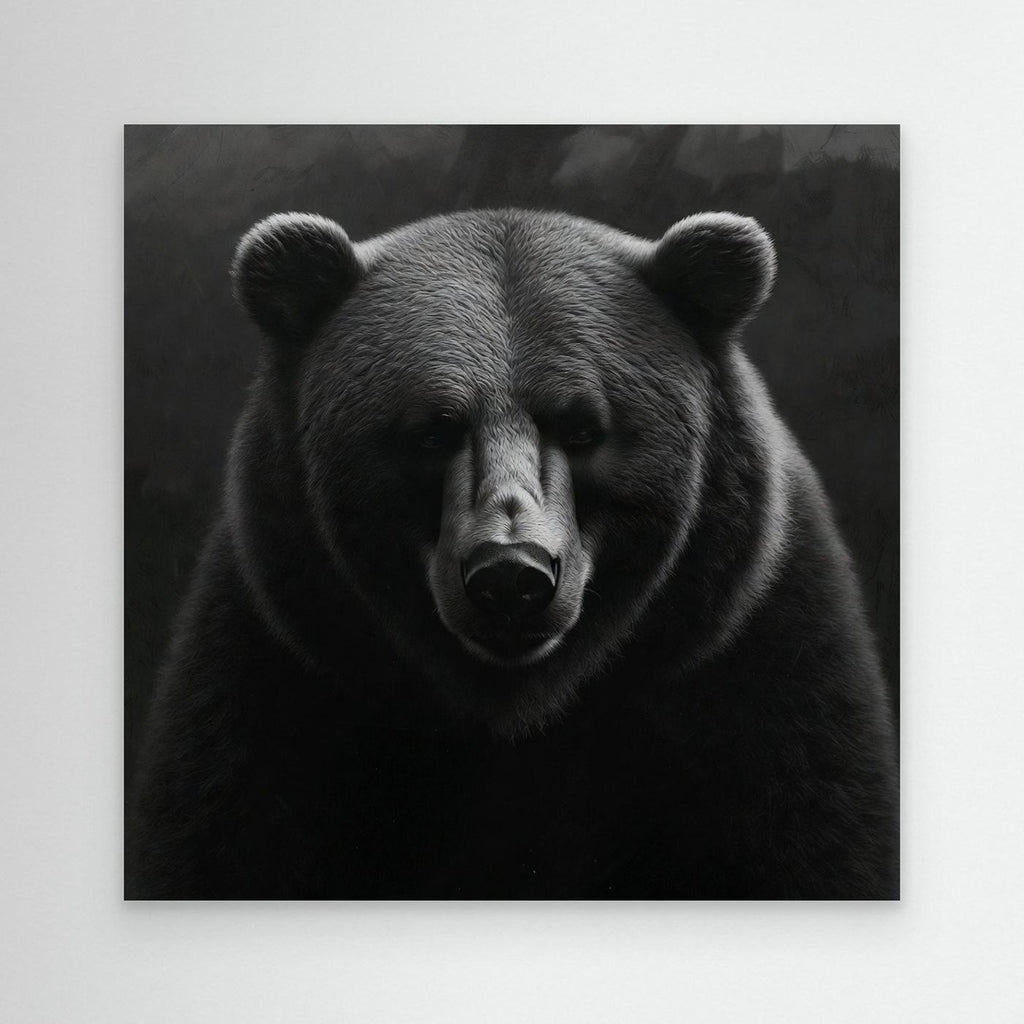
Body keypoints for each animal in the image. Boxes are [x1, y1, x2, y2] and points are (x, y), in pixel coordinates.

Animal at [128, 208, 898, 899]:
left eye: (583, 426)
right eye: (433, 429)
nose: (510, 576)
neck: (518, 712)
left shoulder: (751, 668)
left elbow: (815, 823)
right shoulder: (281, 673)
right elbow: (223, 831)